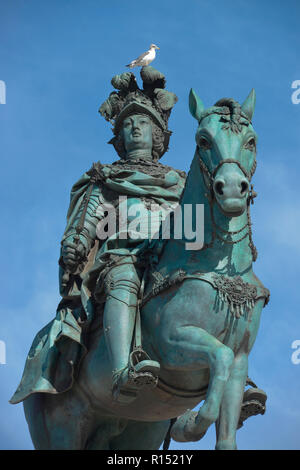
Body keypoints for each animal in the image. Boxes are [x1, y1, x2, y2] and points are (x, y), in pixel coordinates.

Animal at [21, 86, 270, 450]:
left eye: (251, 140)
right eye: (203, 140)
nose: (232, 189)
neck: (217, 270)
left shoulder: (241, 359)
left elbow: (225, 425)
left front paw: (199, 421)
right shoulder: (173, 342)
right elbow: (218, 357)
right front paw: (191, 425)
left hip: (137, 430)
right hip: (62, 430)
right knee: (123, 287)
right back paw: (131, 378)